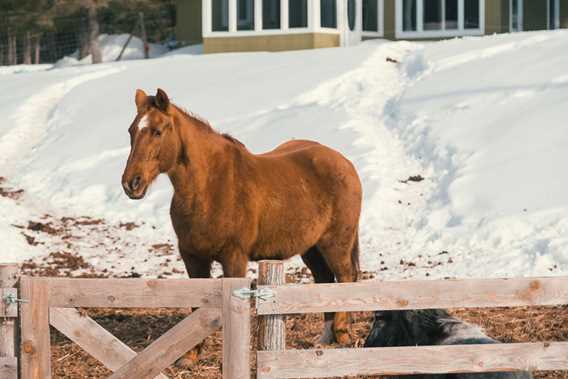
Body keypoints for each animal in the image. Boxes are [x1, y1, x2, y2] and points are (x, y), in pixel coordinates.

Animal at [122, 87, 362, 364]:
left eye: (157, 131)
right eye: (131, 130)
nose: (131, 183)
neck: (209, 187)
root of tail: (345, 163)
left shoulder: (234, 257)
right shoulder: (192, 257)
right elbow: (196, 305)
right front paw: (191, 355)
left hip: (335, 243)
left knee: (345, 276)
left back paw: (341, 334)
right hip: (311, 248)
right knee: (324, 279)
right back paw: (324, 338)